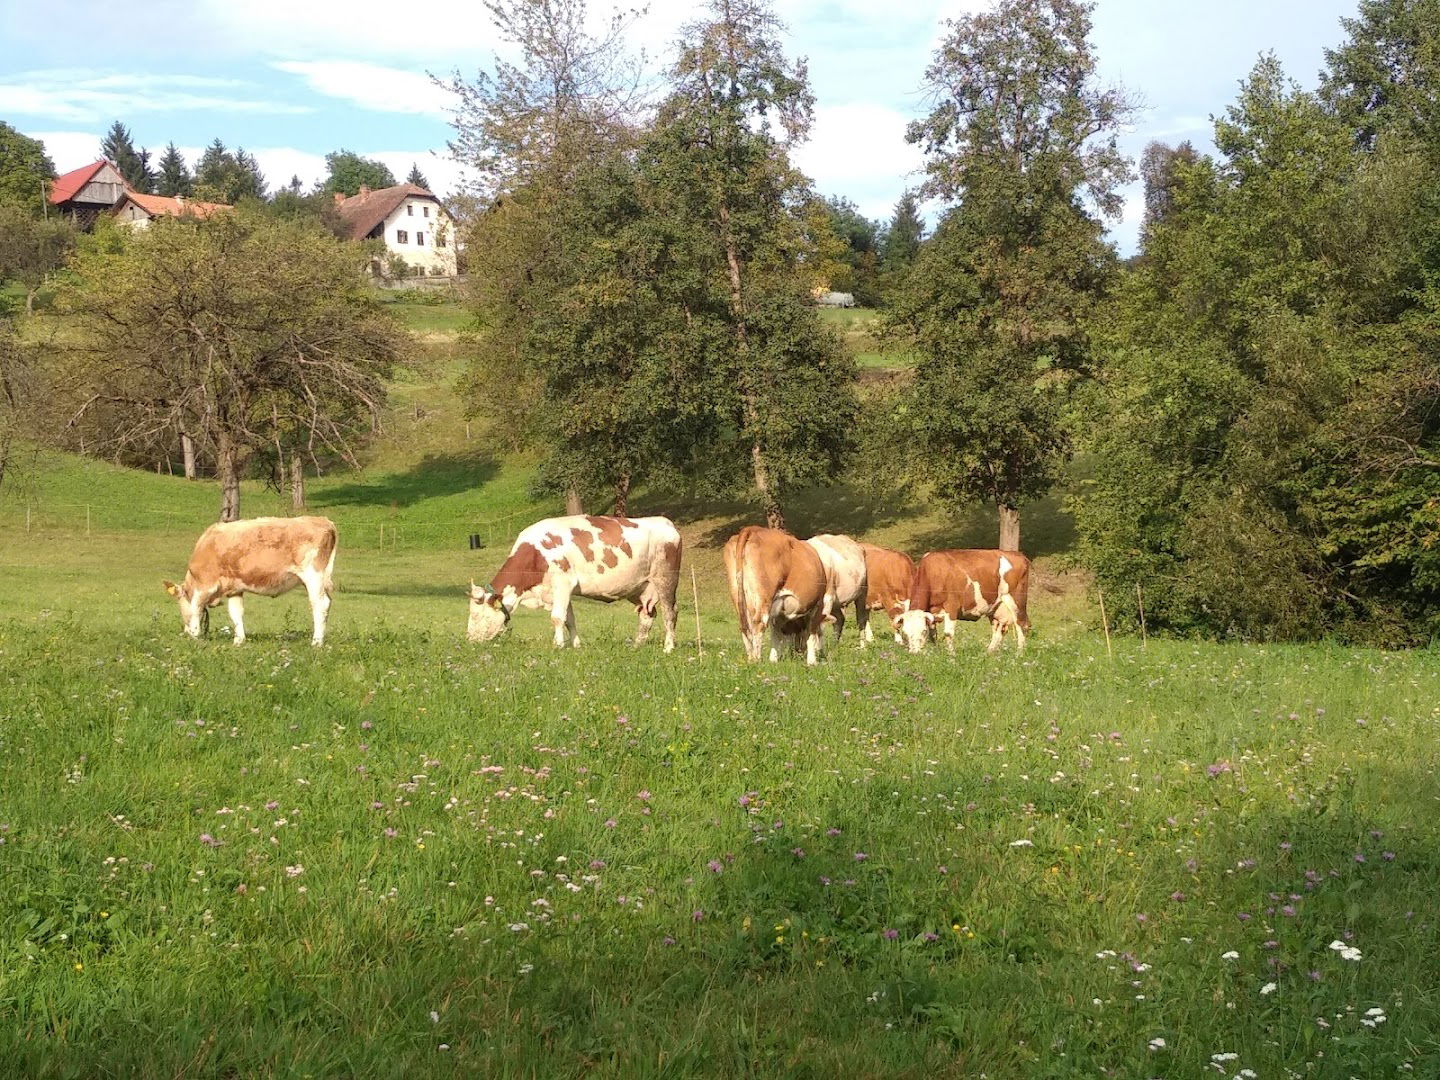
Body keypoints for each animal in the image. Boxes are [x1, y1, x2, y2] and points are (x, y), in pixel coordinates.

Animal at [164, 512, 338, 642]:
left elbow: (195, 607)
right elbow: (235, 612)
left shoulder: (205, 584)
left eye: (179, 603)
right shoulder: (234, 589)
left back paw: (316, 642)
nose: (185, 632)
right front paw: (239, 641)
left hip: (313, 575)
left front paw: (194, 635)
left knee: (320, 604)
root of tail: (324, 521)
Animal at [466, 515, 679, 650]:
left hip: (665, 579)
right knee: (647, 615)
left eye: (476, 615)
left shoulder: (562, 582)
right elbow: (569, 619)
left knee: (670, 612)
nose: (469, 640)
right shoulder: (560, 590)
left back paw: (668, 648)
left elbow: (557, 617)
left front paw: (558, 646)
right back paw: (636, 646)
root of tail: (666, 522)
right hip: (639, 588)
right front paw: (576, 646)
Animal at [720, 527, 835, 668]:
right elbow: (811, 633)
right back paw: (757, 660)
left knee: (745, 625)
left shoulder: (778, 614)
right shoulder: (817, 606)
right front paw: (812, 661)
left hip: (738, 595)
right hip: (763, 597)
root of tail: (754, 529)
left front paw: (773, 659)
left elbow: (776, 634)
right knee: (759, 623)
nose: (798, 651)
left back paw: (751, 658)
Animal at [892, 552, 1031, 656]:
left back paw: (1018, 655)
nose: (915, 653)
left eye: (923, 631)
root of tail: (1018, 555)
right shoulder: (931, 614)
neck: (934, 573)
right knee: (999, 629)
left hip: (1016, 600)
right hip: (996, 607)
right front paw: (936, 652)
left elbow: (948, 634)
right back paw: (988, 653)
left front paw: (952, 657)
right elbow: (933, 635)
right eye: (905, 633)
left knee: (1022, 625)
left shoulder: (951, 606)